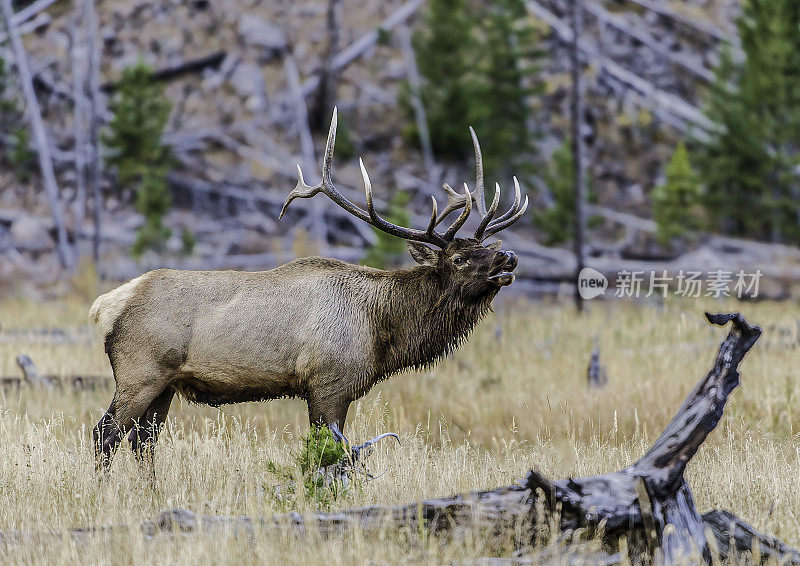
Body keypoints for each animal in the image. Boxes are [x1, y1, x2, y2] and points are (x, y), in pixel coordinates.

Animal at [90, 108, 528, 472]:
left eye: (486, 248)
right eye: (459, 259)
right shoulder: (328, 385)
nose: (508, 258)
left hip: (164, 385)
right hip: (139, 372)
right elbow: (331, 457)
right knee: (104, 434)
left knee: (143, 443)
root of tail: (106, 305)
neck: (382, 330)